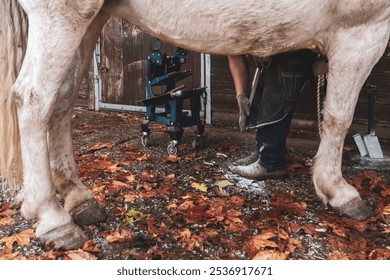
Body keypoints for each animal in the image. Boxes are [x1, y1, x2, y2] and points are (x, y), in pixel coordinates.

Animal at [0, 0, 388, 249]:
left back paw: (77, 196)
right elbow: (338, 118)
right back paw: (52, 218)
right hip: (63, 15)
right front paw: (339, 191)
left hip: (89, 19)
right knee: (34, 99)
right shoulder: (362, 31)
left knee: (62, 98)